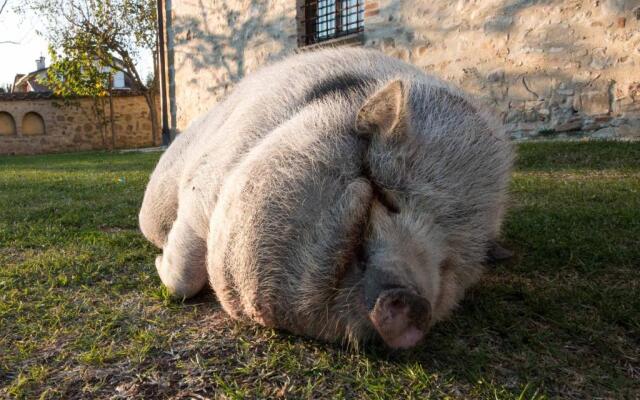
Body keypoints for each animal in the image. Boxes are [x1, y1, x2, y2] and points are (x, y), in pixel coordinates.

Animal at [140, 47, 516, 350]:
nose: (414, 305)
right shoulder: (203, 190)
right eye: (382, 192)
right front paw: (159, 262)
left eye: (448, 263)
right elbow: (183, 277)